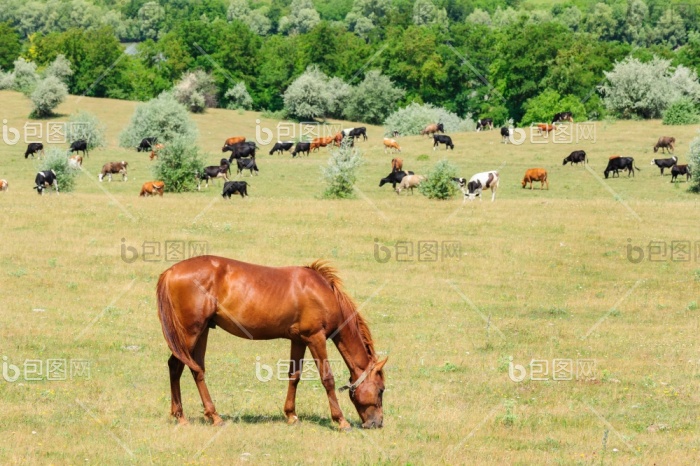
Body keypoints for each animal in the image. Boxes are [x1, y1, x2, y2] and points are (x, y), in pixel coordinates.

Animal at [156, 256, 387, 430]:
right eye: (381, 390)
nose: (377, 423)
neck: (323, 292)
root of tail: (170, 271)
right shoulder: (316, 338)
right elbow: (327, 378)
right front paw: (341, 420)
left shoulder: (299, 340)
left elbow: (294, 375)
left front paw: (291, 415)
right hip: (190, 333)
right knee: (176, 366)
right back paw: (188, 417)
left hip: (202, 331)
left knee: (196, 369)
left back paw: (207, 415)